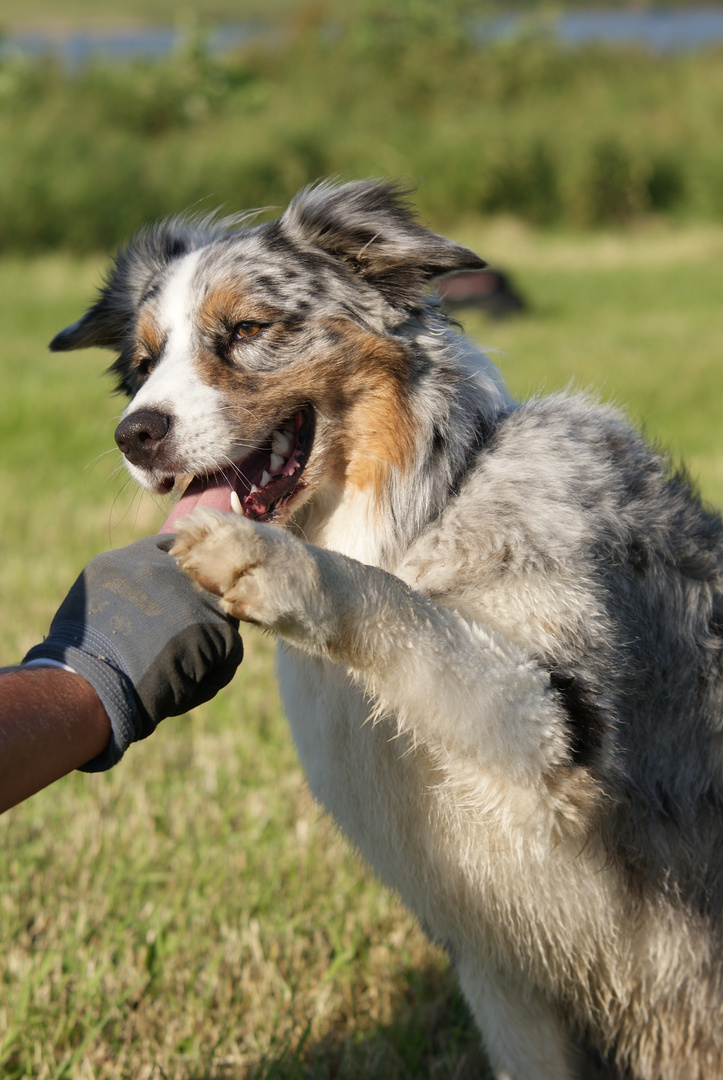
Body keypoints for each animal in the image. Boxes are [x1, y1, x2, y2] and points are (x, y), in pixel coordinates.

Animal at [52, 181, 721, 1075]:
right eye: (142, 363)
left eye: (248, 330)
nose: (135, 433)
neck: (426, 513)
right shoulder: (502, 971)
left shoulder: (560, 730)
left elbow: (403, 613)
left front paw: (272, 565)